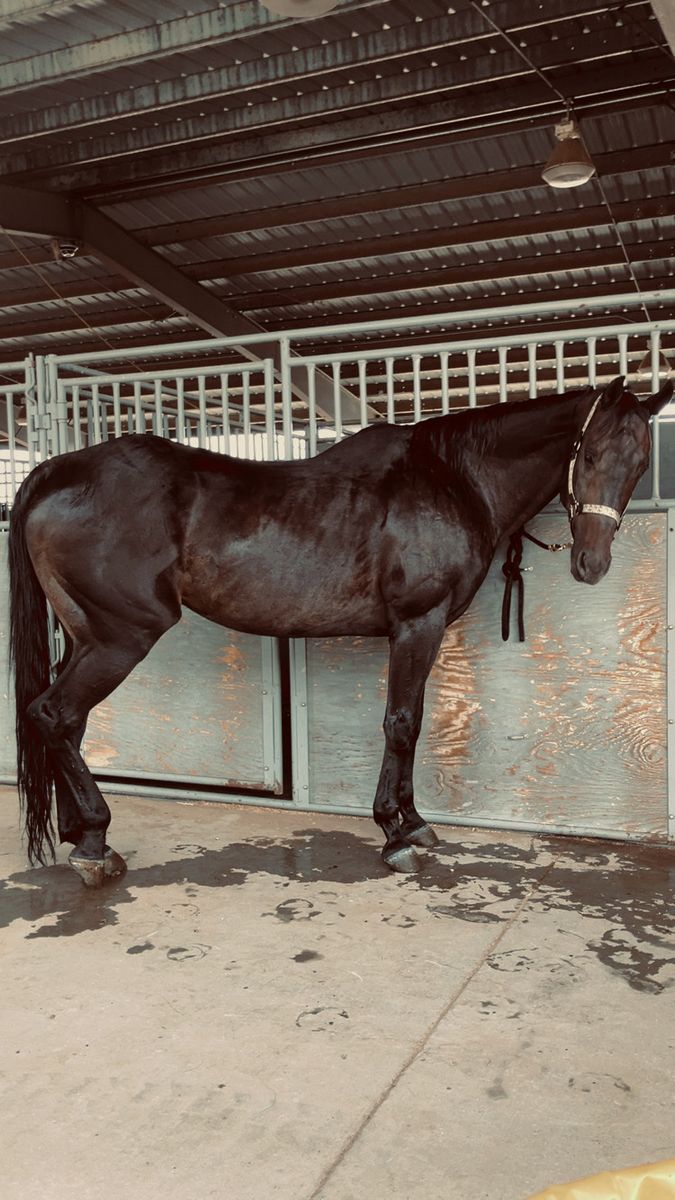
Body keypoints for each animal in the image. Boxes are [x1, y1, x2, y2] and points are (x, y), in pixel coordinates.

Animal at [8, 374, 672, 886]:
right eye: (589, 456)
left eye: (641, 463)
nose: (592, 564)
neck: (451, 478)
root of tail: (56, 470)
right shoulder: (417, 625)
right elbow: (401, 724)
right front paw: (395, 836)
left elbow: (415, 722)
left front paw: (414, 823)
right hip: (121, 637)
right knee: (55, 714)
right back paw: (95, 846)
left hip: (86, 636)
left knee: (64, 720)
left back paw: (77, 834)